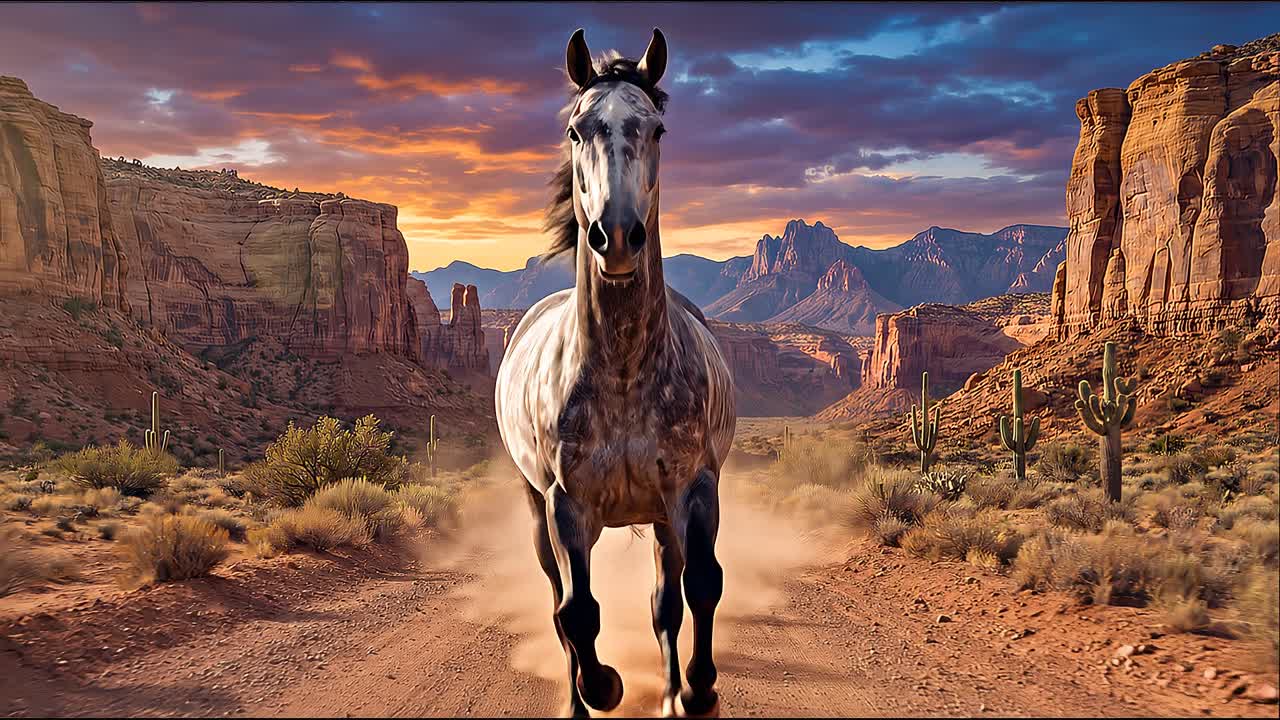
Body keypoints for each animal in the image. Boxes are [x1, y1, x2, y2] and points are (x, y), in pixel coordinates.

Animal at [495, 27, 736, 719]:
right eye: (577, 129)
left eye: (656, 128)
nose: (618, 235)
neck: (625, 373)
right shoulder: (566, 505)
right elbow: (577, 613)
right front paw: (604, 686)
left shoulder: (693, 489)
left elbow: (698, 588)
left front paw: (697, 690)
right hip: (537, 510)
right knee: (558, 604)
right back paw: (581, 696)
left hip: (658, 517)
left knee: (665, 604)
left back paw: (674, 692)